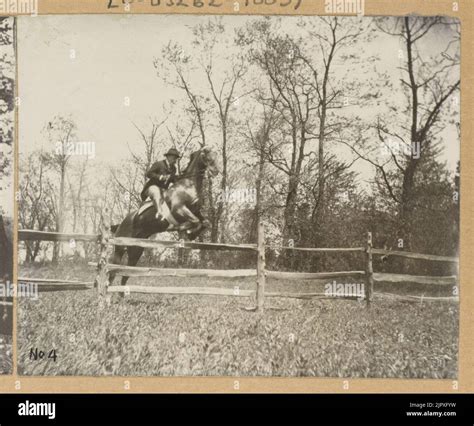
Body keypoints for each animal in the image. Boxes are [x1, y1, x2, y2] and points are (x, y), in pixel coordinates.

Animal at [108, 146, 219, 290]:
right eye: (206, 155)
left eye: (216, 154)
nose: (216, 171)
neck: (188, 185)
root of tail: (121, 223)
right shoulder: (179, 208)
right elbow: (194, 222)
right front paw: (185, 230)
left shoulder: (196, 211)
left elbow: (204, 222)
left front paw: (191, 234)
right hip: (120, 248)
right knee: (112, 273)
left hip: (136, 250)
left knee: (125, 274)